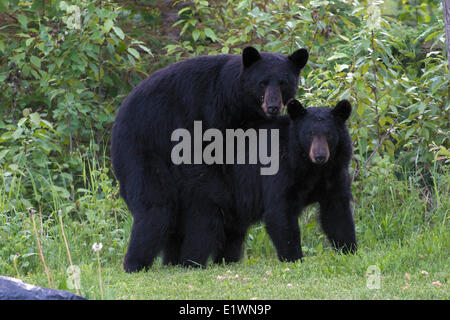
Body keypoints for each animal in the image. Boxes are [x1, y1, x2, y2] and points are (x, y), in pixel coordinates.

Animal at [111, 47, 310, 272]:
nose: (273, 106)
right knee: (156, 208)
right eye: (262, 82)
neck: (235, 102)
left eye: (283, 82)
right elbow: (198, 160)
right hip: (141, 150)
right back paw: (135, 263)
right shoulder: (204, 112)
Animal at [216, 99, 356, 264]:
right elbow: (280, 210)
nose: (320, 156)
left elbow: (337, 212)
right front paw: (294, 258)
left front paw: (349, 250)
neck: (312, 168)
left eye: (329, 134)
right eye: (309, 134)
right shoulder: (280, 169)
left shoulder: (334, 174)